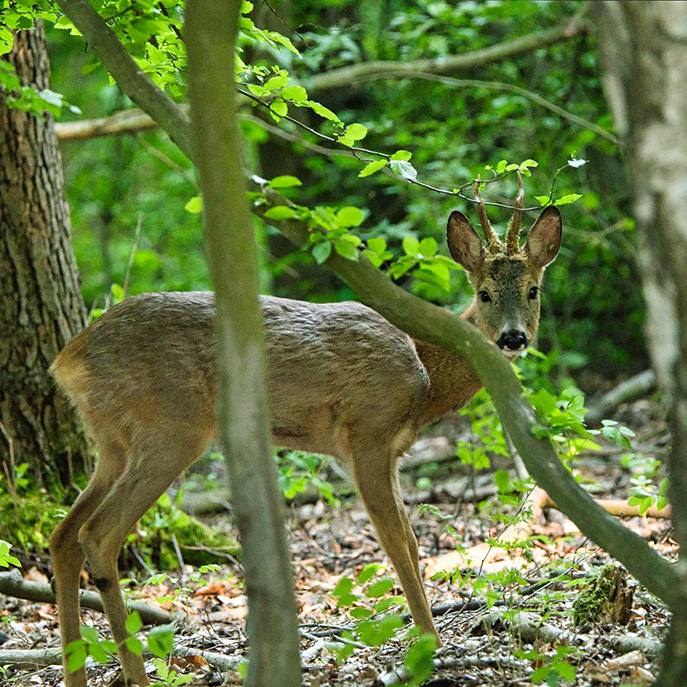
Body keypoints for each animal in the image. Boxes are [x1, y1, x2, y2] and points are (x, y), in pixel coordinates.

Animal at [49, 180, 564, 684]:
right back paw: (135, 673)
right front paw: (430, 645)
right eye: (485, 293)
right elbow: (396, 542)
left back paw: (76, 671)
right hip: (171, 427)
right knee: (98, 533)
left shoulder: (384, 451)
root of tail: (67, 359)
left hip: (113, 442)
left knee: (63, 534)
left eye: (534, 290)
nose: (513, 338)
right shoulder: (368, 431)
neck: (426, 376)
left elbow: (412, 539)